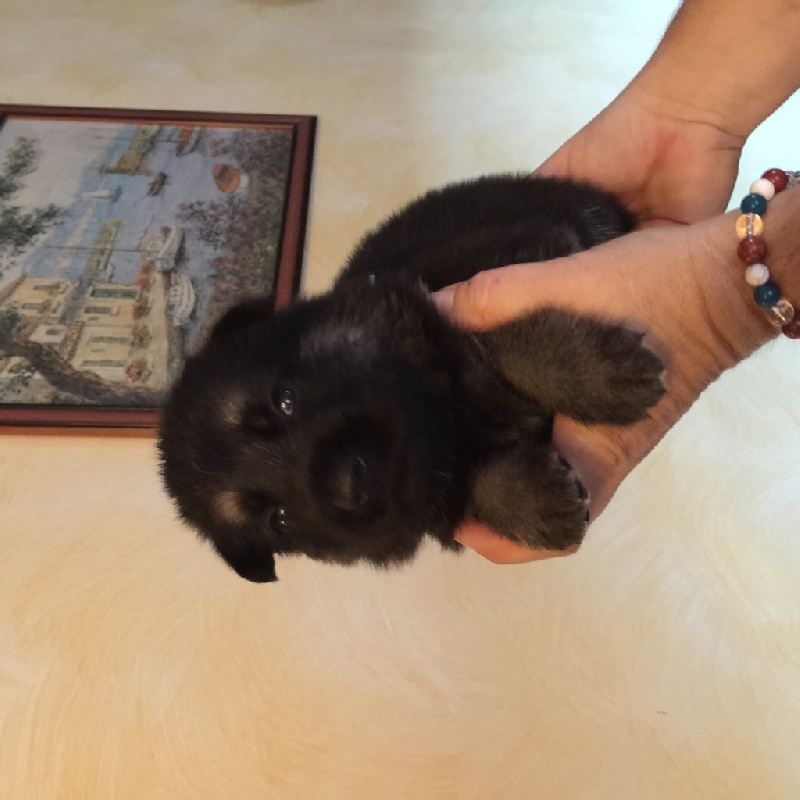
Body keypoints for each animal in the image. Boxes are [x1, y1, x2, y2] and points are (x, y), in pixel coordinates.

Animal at [158, 175, 664, 583]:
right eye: (278, 518)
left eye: (284, 399)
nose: (350, 485)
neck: (445, 418)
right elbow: (472, 486)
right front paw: (533, 503)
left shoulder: (511, 258)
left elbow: (505, 338)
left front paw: (602, 375)